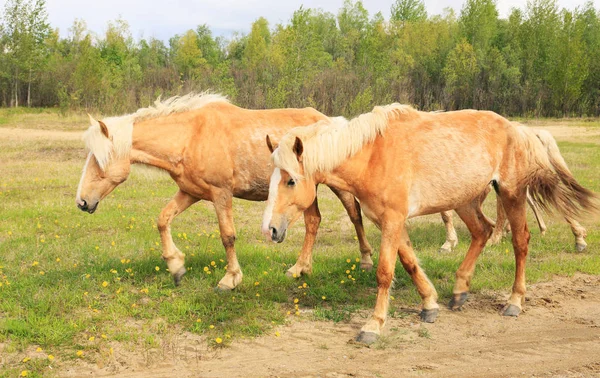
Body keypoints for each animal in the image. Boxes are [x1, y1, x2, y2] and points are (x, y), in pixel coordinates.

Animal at [76, 94, 370, 290]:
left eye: (99, 160)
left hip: (336, 185)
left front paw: (230, 278)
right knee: (314, 221)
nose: (82, 202)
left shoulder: (221, 194)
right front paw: (176, 266)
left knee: (354, 213)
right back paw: (301, 268)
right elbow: (163, 219)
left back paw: (365, 261)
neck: (191, 137)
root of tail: (331, 121)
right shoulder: (190, 192)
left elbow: (227, 236)